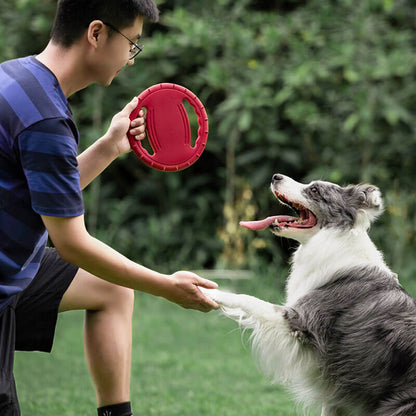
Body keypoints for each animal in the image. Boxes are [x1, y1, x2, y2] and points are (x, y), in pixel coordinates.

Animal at [202, 173, 416, 416]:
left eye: (314, 190)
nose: (276, 176)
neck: (331, 238)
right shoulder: (336, 394)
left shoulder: (300, 321)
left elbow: (249, 299)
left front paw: (207, 290)